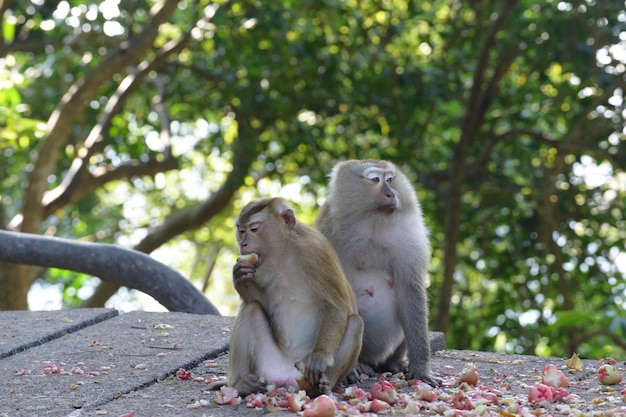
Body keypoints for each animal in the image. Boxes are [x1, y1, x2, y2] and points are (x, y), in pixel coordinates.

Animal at [227, 197, 364, 396]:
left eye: (254, 229)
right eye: (241, 230)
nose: (242, 244)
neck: (285, 252)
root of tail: (288, 379)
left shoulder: (316, 250)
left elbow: (337, 306)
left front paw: (318, 358)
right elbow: (263, 303)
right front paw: (239, 276)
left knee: (355, 323)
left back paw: (319, 387)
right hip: (267, 366)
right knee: (251, 307)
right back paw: (241, 383)